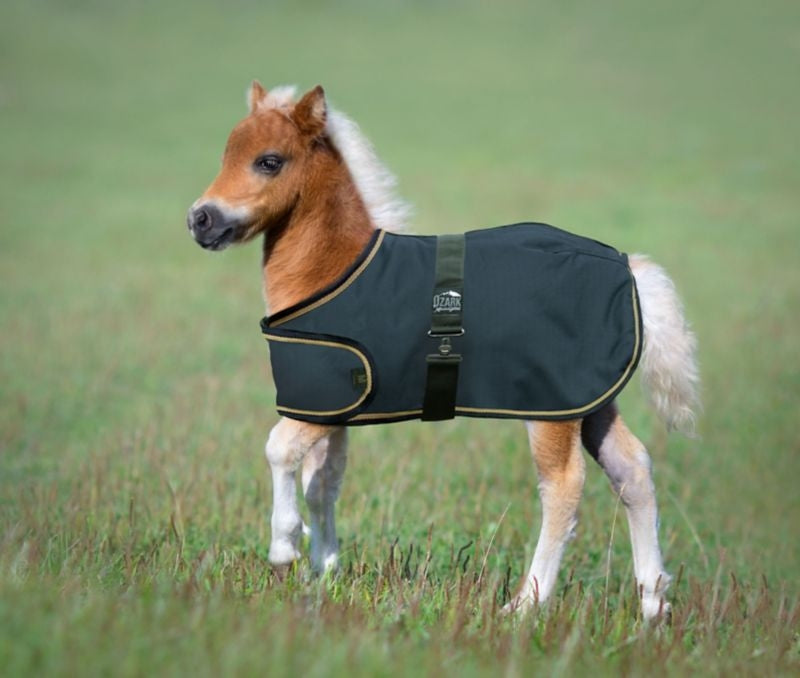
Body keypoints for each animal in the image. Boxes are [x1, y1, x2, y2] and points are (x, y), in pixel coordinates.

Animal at [186, 82, 699, 620]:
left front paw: (284, 548)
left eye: (269, 161)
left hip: (551, 407)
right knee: (632, 469)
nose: (200, 219)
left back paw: (526, 605)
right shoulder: (328, 408)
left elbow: (278, 449)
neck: (336, 270)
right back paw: (653, 604)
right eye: (226, 154)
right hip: (591, 401)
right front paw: (323, 574)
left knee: (563, 487)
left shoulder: (325, 399)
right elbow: (322, 482)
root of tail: (626, 266)